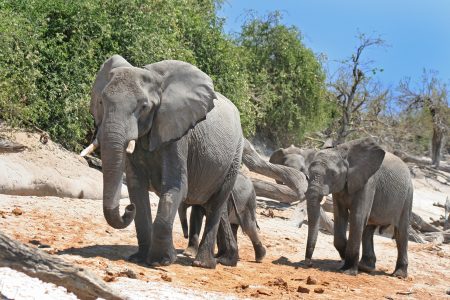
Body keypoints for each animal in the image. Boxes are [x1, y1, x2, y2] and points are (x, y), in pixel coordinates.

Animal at [81, 55, 244, 268]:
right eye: (101, 102)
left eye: (143, 107)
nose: (127, 209)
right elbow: (136, 188)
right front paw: (139, 258)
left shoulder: (178, 134)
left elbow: (176, 187)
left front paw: (161, 261)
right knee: (217, 206)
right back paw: (225, 260)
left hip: (235, 156)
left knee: (216, 204)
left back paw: (203, 264)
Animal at [304, 137, 414, 278]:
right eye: (308, 171)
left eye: (333, 174)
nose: (309, 263)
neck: (343, 152)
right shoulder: (340, 188)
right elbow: (340, 216)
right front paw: (345, 259)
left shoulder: (368, 182)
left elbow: (357, 217)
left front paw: (348, 272)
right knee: (368, 230)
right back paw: (366, 267)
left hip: (408, 196)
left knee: (401, 232)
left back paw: (399, 275)